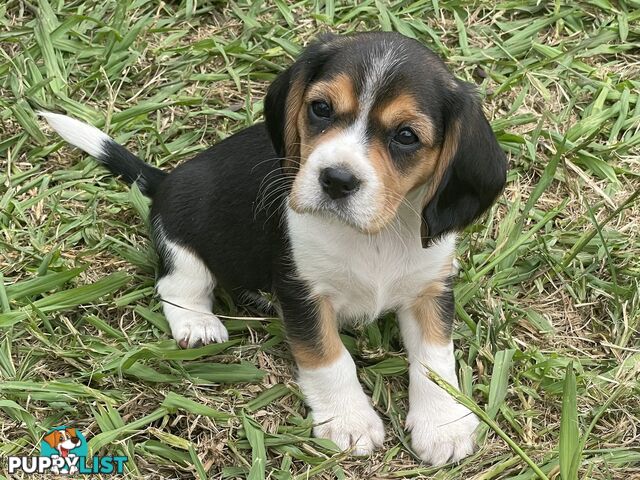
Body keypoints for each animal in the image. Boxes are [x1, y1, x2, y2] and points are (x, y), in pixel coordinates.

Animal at [42, 31, 508, 464]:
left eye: (406, 136)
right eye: (321, 108)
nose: (335, 179)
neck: (374, 235)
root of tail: (167, 179)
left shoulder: (430, 290)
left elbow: (434, 359)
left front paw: (443, 425)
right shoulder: (301, 292)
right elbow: (328, 356)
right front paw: (349, 420)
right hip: (182, 237)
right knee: (177, 284)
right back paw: (198, 324)